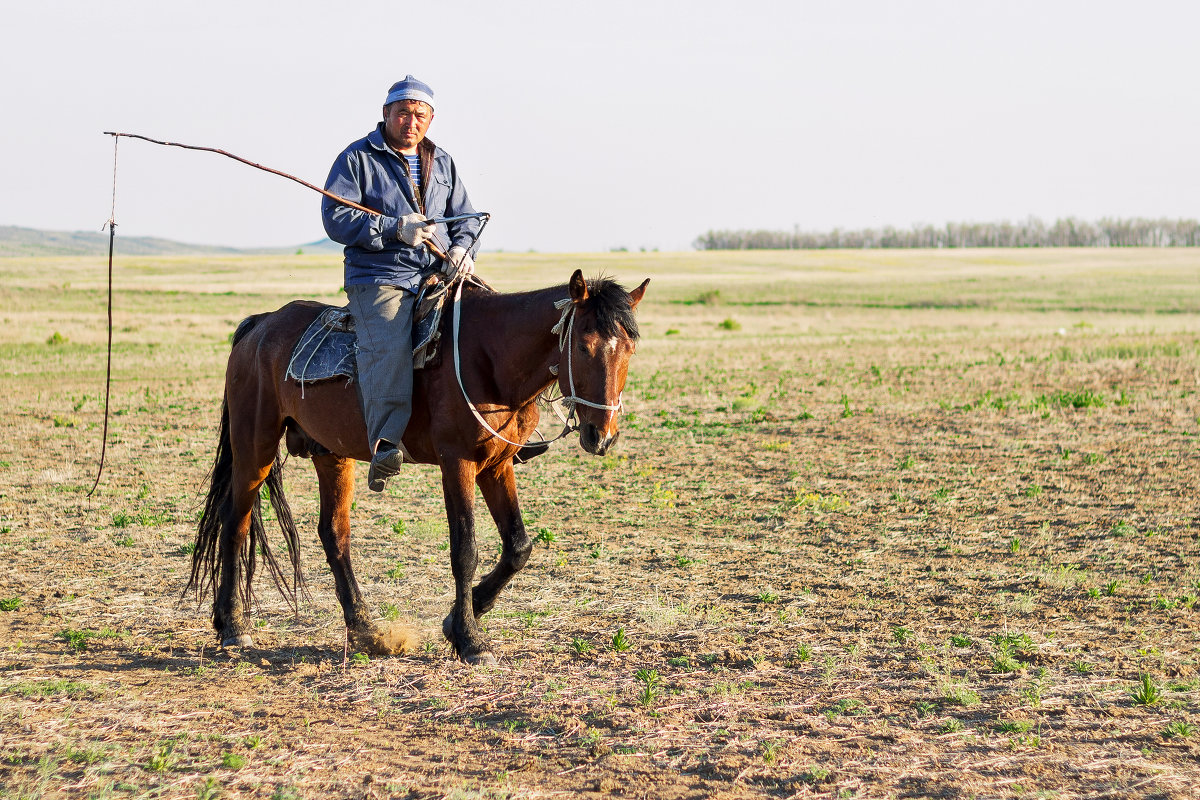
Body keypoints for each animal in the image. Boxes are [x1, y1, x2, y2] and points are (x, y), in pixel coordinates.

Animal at [186, 272, 648, 666]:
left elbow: (518, 546)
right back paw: (233, 625)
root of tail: (261, 325)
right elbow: (465, 549)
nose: (602, 434)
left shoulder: (496, 465)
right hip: (255, 446)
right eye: (583, 347)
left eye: (629, 350)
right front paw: (470, 639)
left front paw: (463, 616)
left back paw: (365, 629)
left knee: (333, 533)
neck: (490, 358)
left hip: (331, 453)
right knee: (235, 521)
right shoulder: (457, 462)